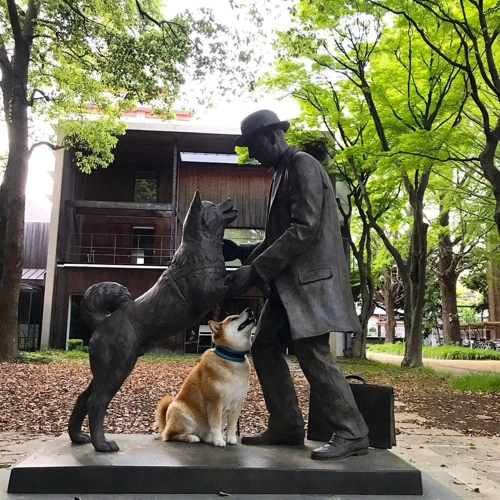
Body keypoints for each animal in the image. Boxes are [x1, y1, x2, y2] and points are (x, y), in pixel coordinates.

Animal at [155, 310, 254, 448]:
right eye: (233, 318)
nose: (249, 309)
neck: (231, 358)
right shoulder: (215, 401)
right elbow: (216, 424)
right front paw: (219, 440)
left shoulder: (238, 402)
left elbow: (232, 425)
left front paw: (230, 438)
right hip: (183, 414)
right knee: (171, 436)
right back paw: (192, 437)